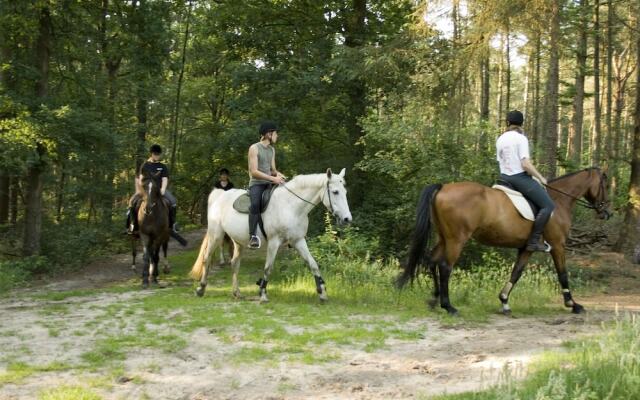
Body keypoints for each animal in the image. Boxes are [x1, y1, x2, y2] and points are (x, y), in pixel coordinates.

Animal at [190, 169, 352, 304]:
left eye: (345, 192)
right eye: (335, 192)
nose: (347, 219)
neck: (291, 206)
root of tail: (220, 195)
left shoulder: (298, 241)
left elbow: (313, 264)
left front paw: (322, 293)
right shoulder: (274, 241)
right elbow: (268, 267)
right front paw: (262, 294)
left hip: (238, 241)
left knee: (235, 263)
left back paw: (237, 293)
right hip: (216, 235)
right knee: (207, 259)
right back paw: (201, 289)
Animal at [398, 166, 612, 316]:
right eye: (606, 185)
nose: (607, 213)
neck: (559, 200)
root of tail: (443, 187)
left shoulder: (527, 248)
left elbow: (516, 273)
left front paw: (504, 301)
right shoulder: (558, 245)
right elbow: (563, 274)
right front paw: (573, 305)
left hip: (443, 237)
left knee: (431, 261)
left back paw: (434, 301)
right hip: (456, 239)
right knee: (444, 266)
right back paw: (449, 306)